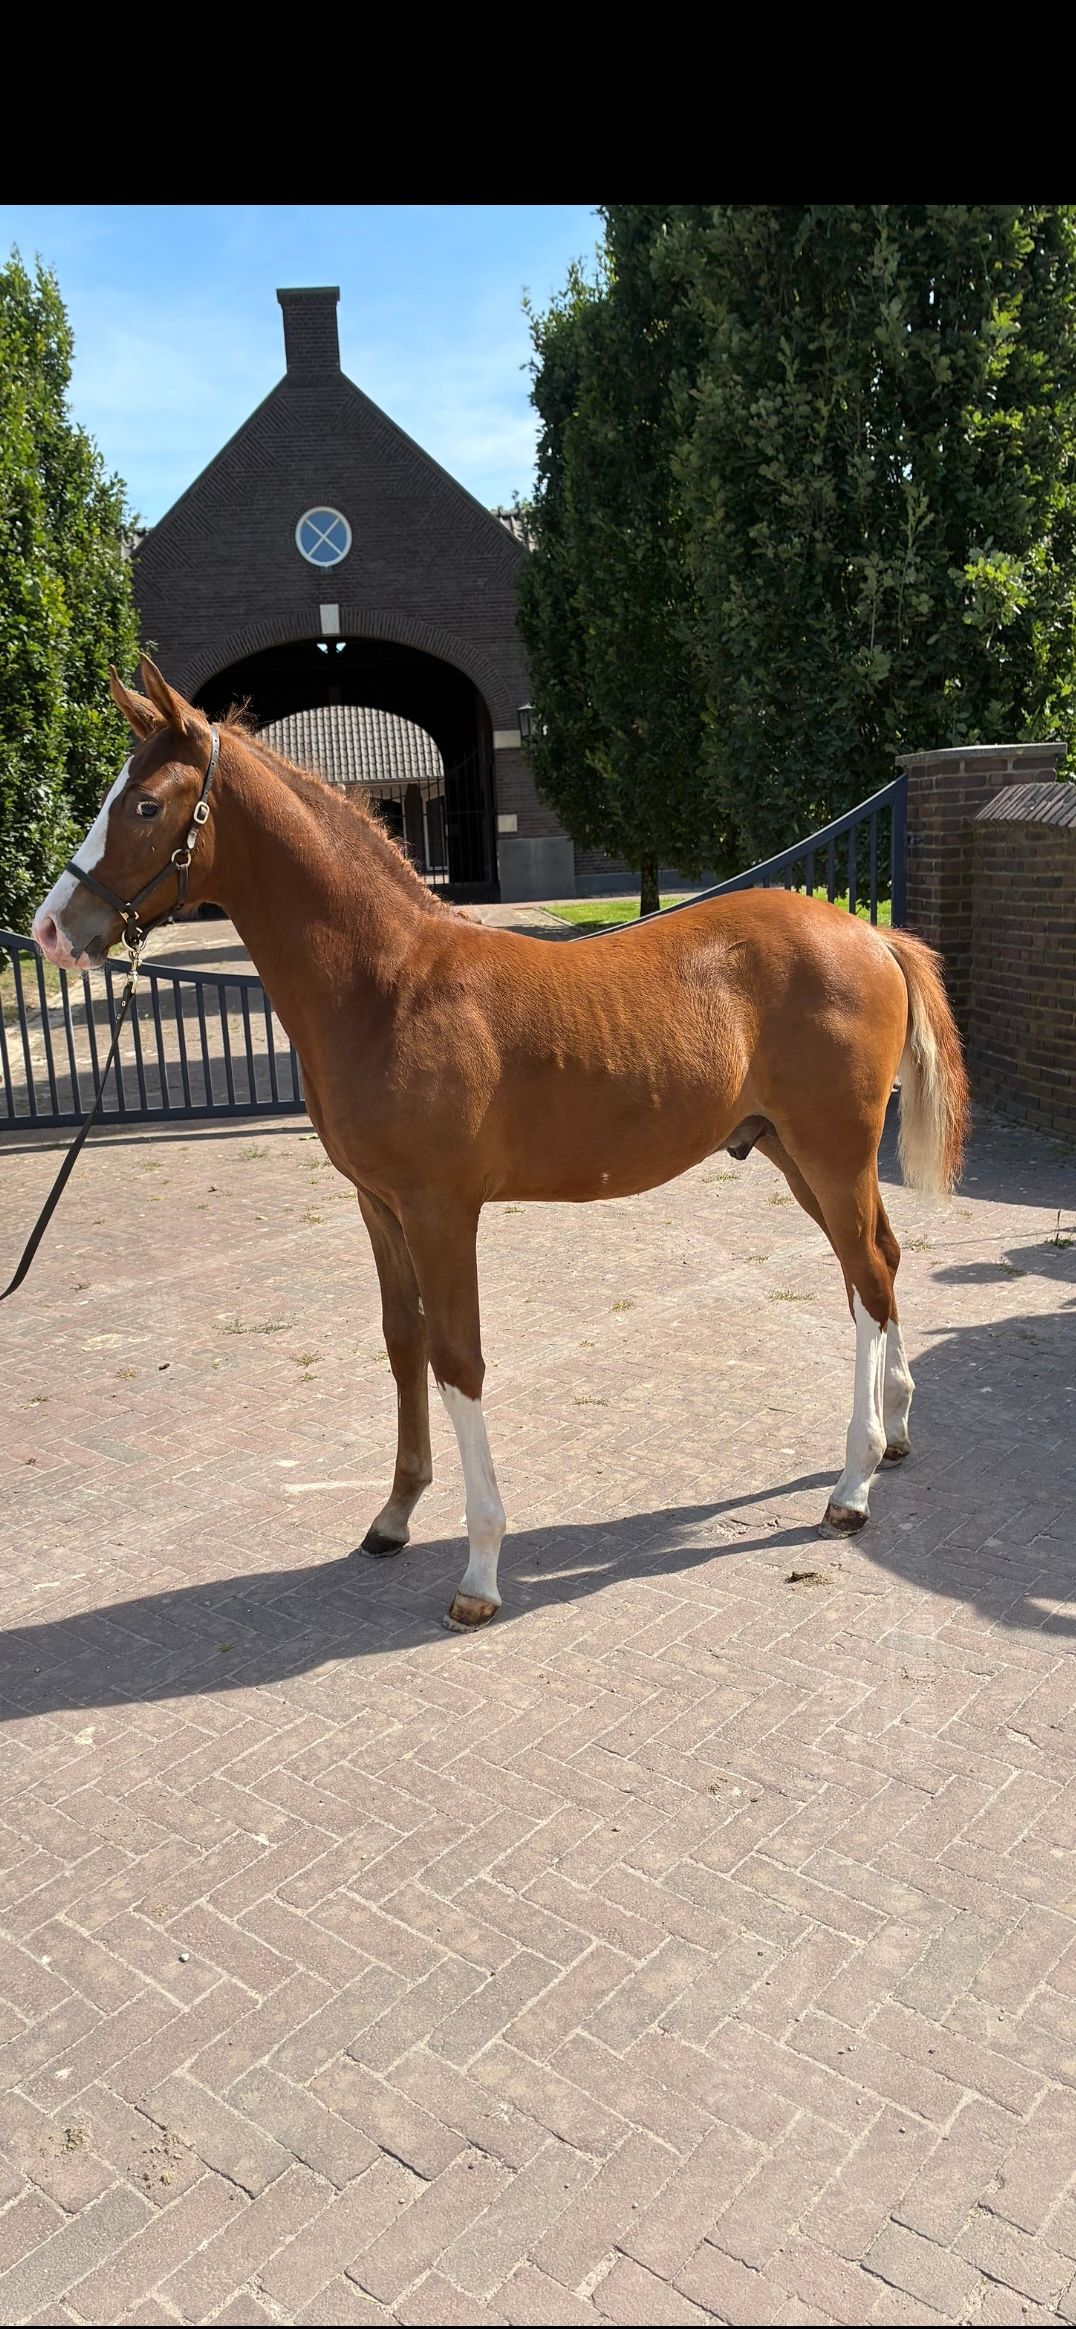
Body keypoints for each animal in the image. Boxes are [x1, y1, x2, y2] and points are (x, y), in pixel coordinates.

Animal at [32, 659, 969, 1632]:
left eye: (145, 804)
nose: (51, 930)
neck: (389, 985)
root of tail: (871, 932)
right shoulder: (379, 1205)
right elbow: (403, 1342)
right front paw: (394, 1516)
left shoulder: (441, 1209)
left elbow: (458, 1357)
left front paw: (479, 1569)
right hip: (796, 1153)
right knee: (880, 1263)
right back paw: (896, 1432)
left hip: (832, 1150)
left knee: (866, 1278)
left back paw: (851, 1486)